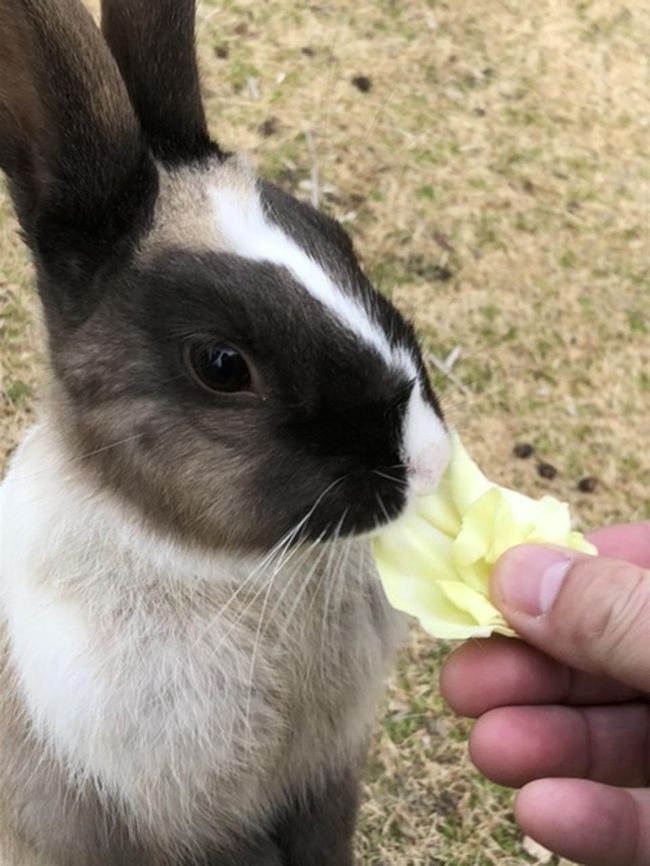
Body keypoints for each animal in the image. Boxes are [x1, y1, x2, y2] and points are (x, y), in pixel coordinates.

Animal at [0, 1, 448, 864]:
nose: (432, 463)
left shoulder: (326, 780)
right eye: (221, 364)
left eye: (337, 238)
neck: (236, 571)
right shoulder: (193, 824)